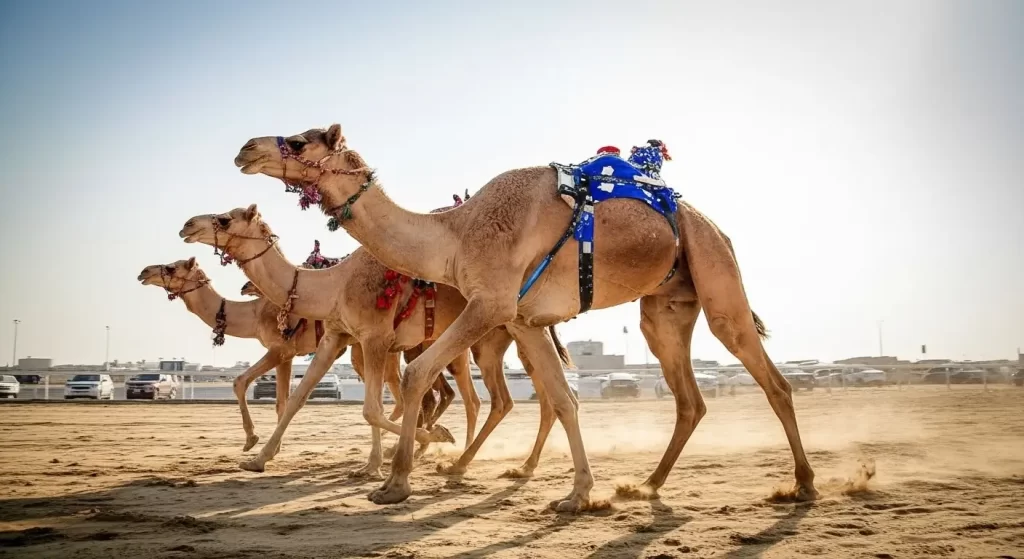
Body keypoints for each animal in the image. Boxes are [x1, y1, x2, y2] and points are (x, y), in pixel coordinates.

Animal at [180, 209, 571, 478]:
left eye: (225, 219)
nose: (187, 226)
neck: (334, 284)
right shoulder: (338, 337)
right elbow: (298, 399)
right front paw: (258, 459)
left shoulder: (373, 338)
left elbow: (372, 408)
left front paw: (425, 441)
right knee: (538, 397)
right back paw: (506, 463)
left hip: (489, 339)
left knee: (498, 399)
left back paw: (463, 459)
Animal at [231, 124, 818, 511]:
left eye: (300, 140)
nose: (245, 149)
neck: (455, 234)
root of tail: (708, 221)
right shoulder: (522, 321)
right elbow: (564, 400)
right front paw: (578, 494)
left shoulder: (488, 305)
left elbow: (418, 374)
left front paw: (397, 482)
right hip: (665, 307)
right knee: (688, 398)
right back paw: (647, 485)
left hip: (716, 274)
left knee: (771, 379)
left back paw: (803, 484)